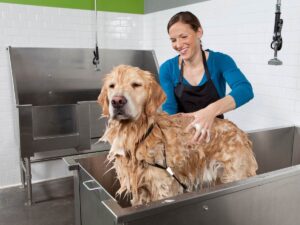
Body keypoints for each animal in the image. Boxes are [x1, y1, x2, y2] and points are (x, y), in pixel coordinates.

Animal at [98, 64, 258, 206]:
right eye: (112, 86)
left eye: (136, 85)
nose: (117, 101)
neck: (138, 135)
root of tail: (240, 132)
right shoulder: (139, 190)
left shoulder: (163, 187)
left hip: (235, 174)